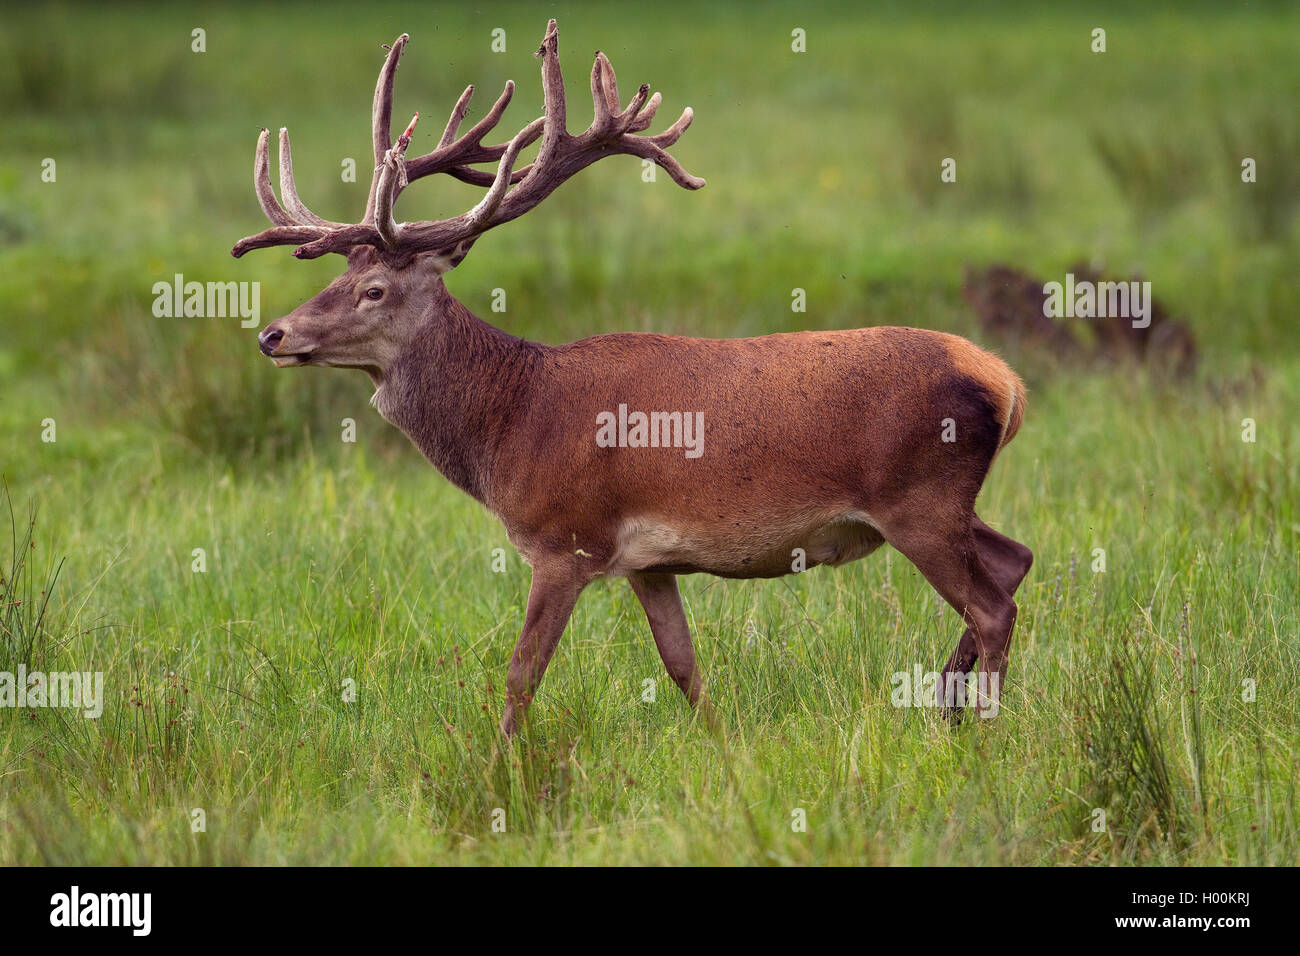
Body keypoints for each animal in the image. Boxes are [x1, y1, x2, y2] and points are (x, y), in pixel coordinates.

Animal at [233, 20, 1033, 736]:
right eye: (339, 276)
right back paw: (947, 706)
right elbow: (683, 666)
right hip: (941, 503)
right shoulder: (651, 561)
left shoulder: (565, 539)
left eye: (374, 290)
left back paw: (982, 729)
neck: (512, 420)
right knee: (1016, 560)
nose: (274, 334)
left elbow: (523, 673)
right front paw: (723, 748)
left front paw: (502, 767)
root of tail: (1007, 382)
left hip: (919, 497)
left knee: (994, 603)